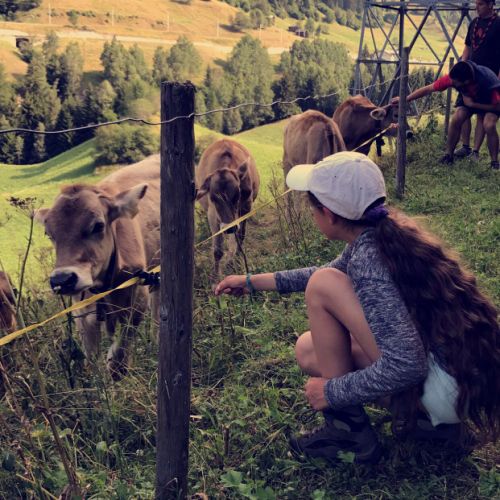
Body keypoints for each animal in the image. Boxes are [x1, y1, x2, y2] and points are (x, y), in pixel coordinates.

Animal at [35, 154, 160, 380]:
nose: (62, 280)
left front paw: (116, 368)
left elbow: (121, 350)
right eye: (49, 234)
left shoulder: (137, 298)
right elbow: (91, 357)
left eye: (98, 226)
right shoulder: (82, 309)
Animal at [196, 139, 259, 277]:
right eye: (213, 197)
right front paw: (216, 276)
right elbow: (218, 249)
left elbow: (240, 236)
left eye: (238, 194)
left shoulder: (246, 207)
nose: (229, 227)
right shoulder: (212, 214)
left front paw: (237, 260)